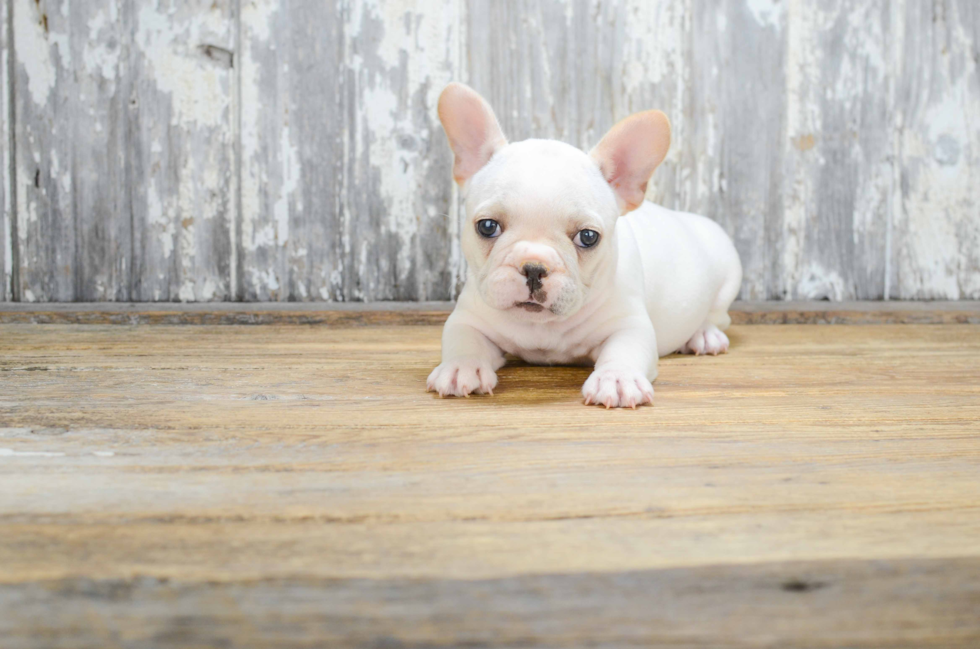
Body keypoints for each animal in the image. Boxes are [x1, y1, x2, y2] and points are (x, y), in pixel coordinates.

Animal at [428, 79, 744, 404]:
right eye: (488, 227)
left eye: (588, 237)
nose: (534, 267)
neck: (542, 326)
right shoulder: (468, 318)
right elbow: (463, 340)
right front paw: (462, 367)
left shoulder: (629, 324)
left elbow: (625, 349)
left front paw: (616, 378)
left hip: (728, 279)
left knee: (717, 317)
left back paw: (704, 335)